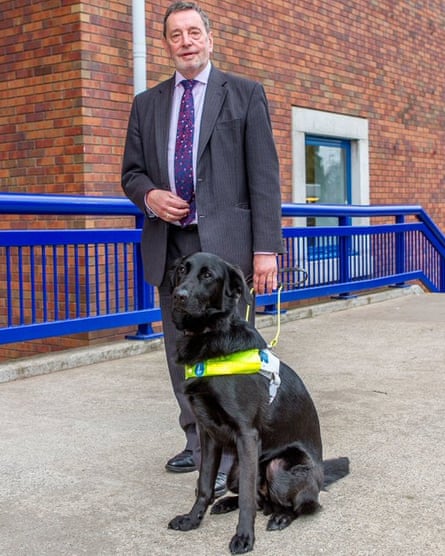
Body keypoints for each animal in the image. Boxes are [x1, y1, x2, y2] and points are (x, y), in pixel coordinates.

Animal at [166, 253, 346, 556]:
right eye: (181, 270)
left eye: (208, 275)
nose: (178, 295)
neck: (211, 335)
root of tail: (320, 476)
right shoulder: (209, 433)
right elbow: (204, 484)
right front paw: (192, 520)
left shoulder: (247, 434)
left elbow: (248, 498)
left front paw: (244, 538)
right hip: (235, 471)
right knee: (257, 497)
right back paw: (226, 503)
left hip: (281, 467)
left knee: (302, 504)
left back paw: (281, 516)